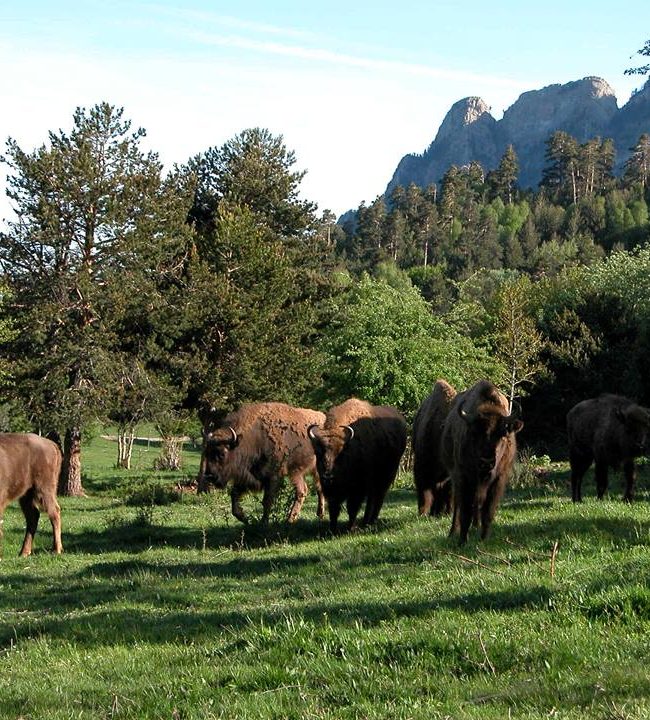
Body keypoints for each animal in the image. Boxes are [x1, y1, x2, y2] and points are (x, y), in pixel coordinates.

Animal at [194, 400, 322, 524]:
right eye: (207, 453)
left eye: (222, 454)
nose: (210, 476)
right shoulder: (246, 478)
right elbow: (234, 497)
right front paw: (245, 519)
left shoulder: (272, 478)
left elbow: (267, 501)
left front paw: (263, 523)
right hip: (297, 472)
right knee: (305, 490)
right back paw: (302, 517)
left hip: (309, 471)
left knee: (311, 489)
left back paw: (299, 518)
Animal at [306, 396, 404, 532]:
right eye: (318, 452)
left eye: (341, 454)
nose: (328, 476)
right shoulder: (331, 491)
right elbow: (334, 508)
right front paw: (332, 529)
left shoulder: (358, 488)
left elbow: (352, 508)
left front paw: (350, 528)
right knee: (372, 500)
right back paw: (366, 522)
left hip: (387, 476)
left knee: (378, 498)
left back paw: (370, 522)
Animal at [440, 380, 520, 544]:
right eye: (474, 434)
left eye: (502, 434)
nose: (486, 462)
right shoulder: (463, 477)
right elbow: (465, 511)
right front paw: (462, 541)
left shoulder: (499, 479)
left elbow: (487, 511)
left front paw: (484, 539)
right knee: (459, 504)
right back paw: (453, 532)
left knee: (477, 503)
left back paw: (476, 527)